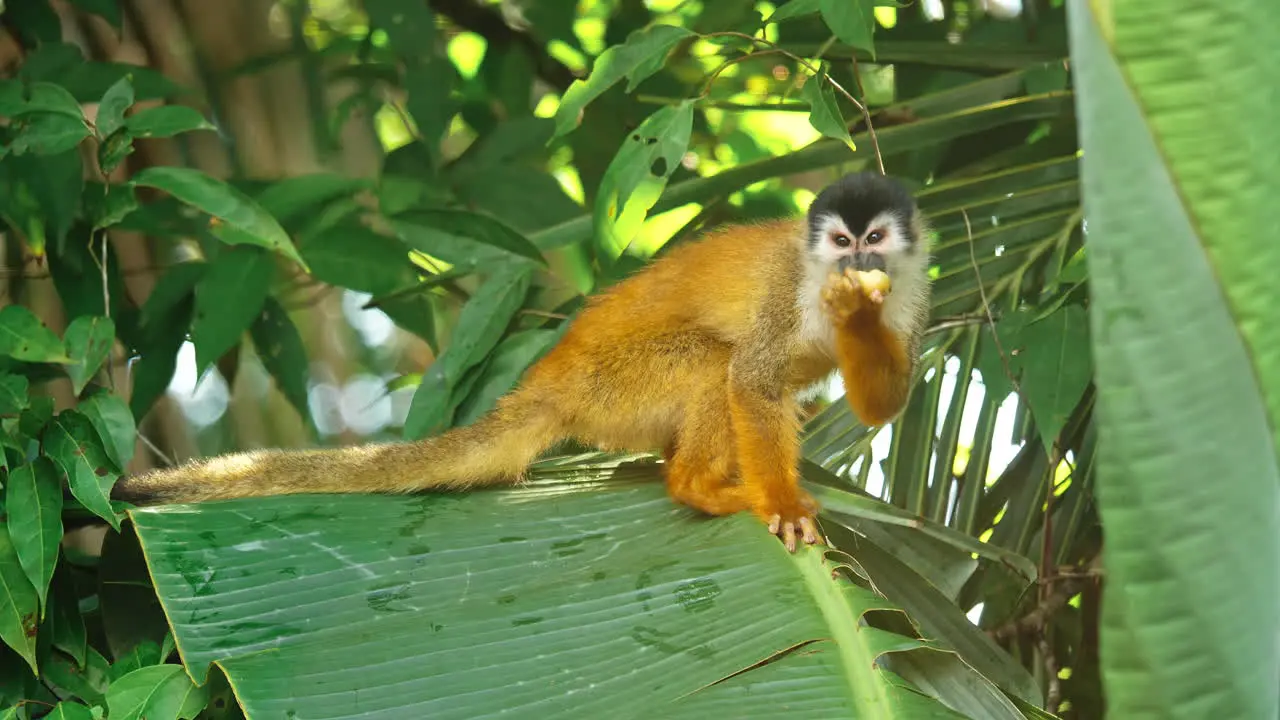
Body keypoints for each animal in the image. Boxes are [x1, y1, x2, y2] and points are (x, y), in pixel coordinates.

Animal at [115, 172, 931, 548]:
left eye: (874, 240)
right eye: (840, 242)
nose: (856, 264)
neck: (820, 286)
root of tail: (547, 381)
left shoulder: (913, 294)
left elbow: (881, 403)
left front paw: (860, 318)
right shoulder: (785, 289)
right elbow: (752, 378)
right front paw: (784, 505)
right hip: (614, 385)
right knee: (715, 363)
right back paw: (699, 486)